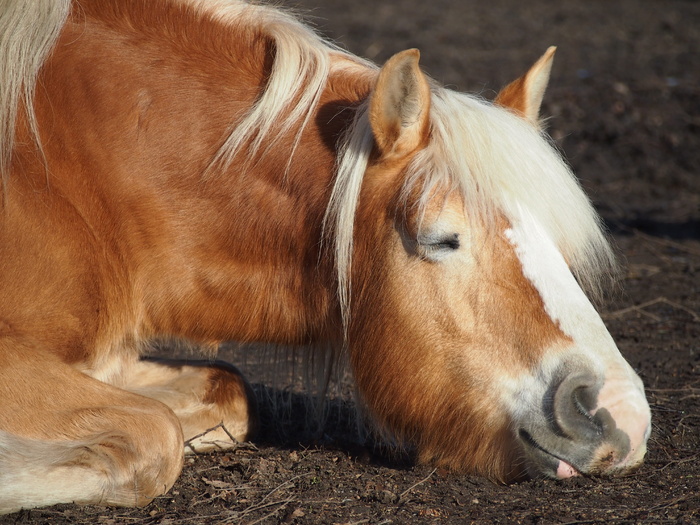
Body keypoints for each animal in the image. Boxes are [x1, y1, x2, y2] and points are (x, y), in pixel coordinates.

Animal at [0, 0, 652, 512]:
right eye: (442, 239)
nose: (622, 414)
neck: (73, 171)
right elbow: (152, 438)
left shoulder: (110, 360)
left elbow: (228, 391)